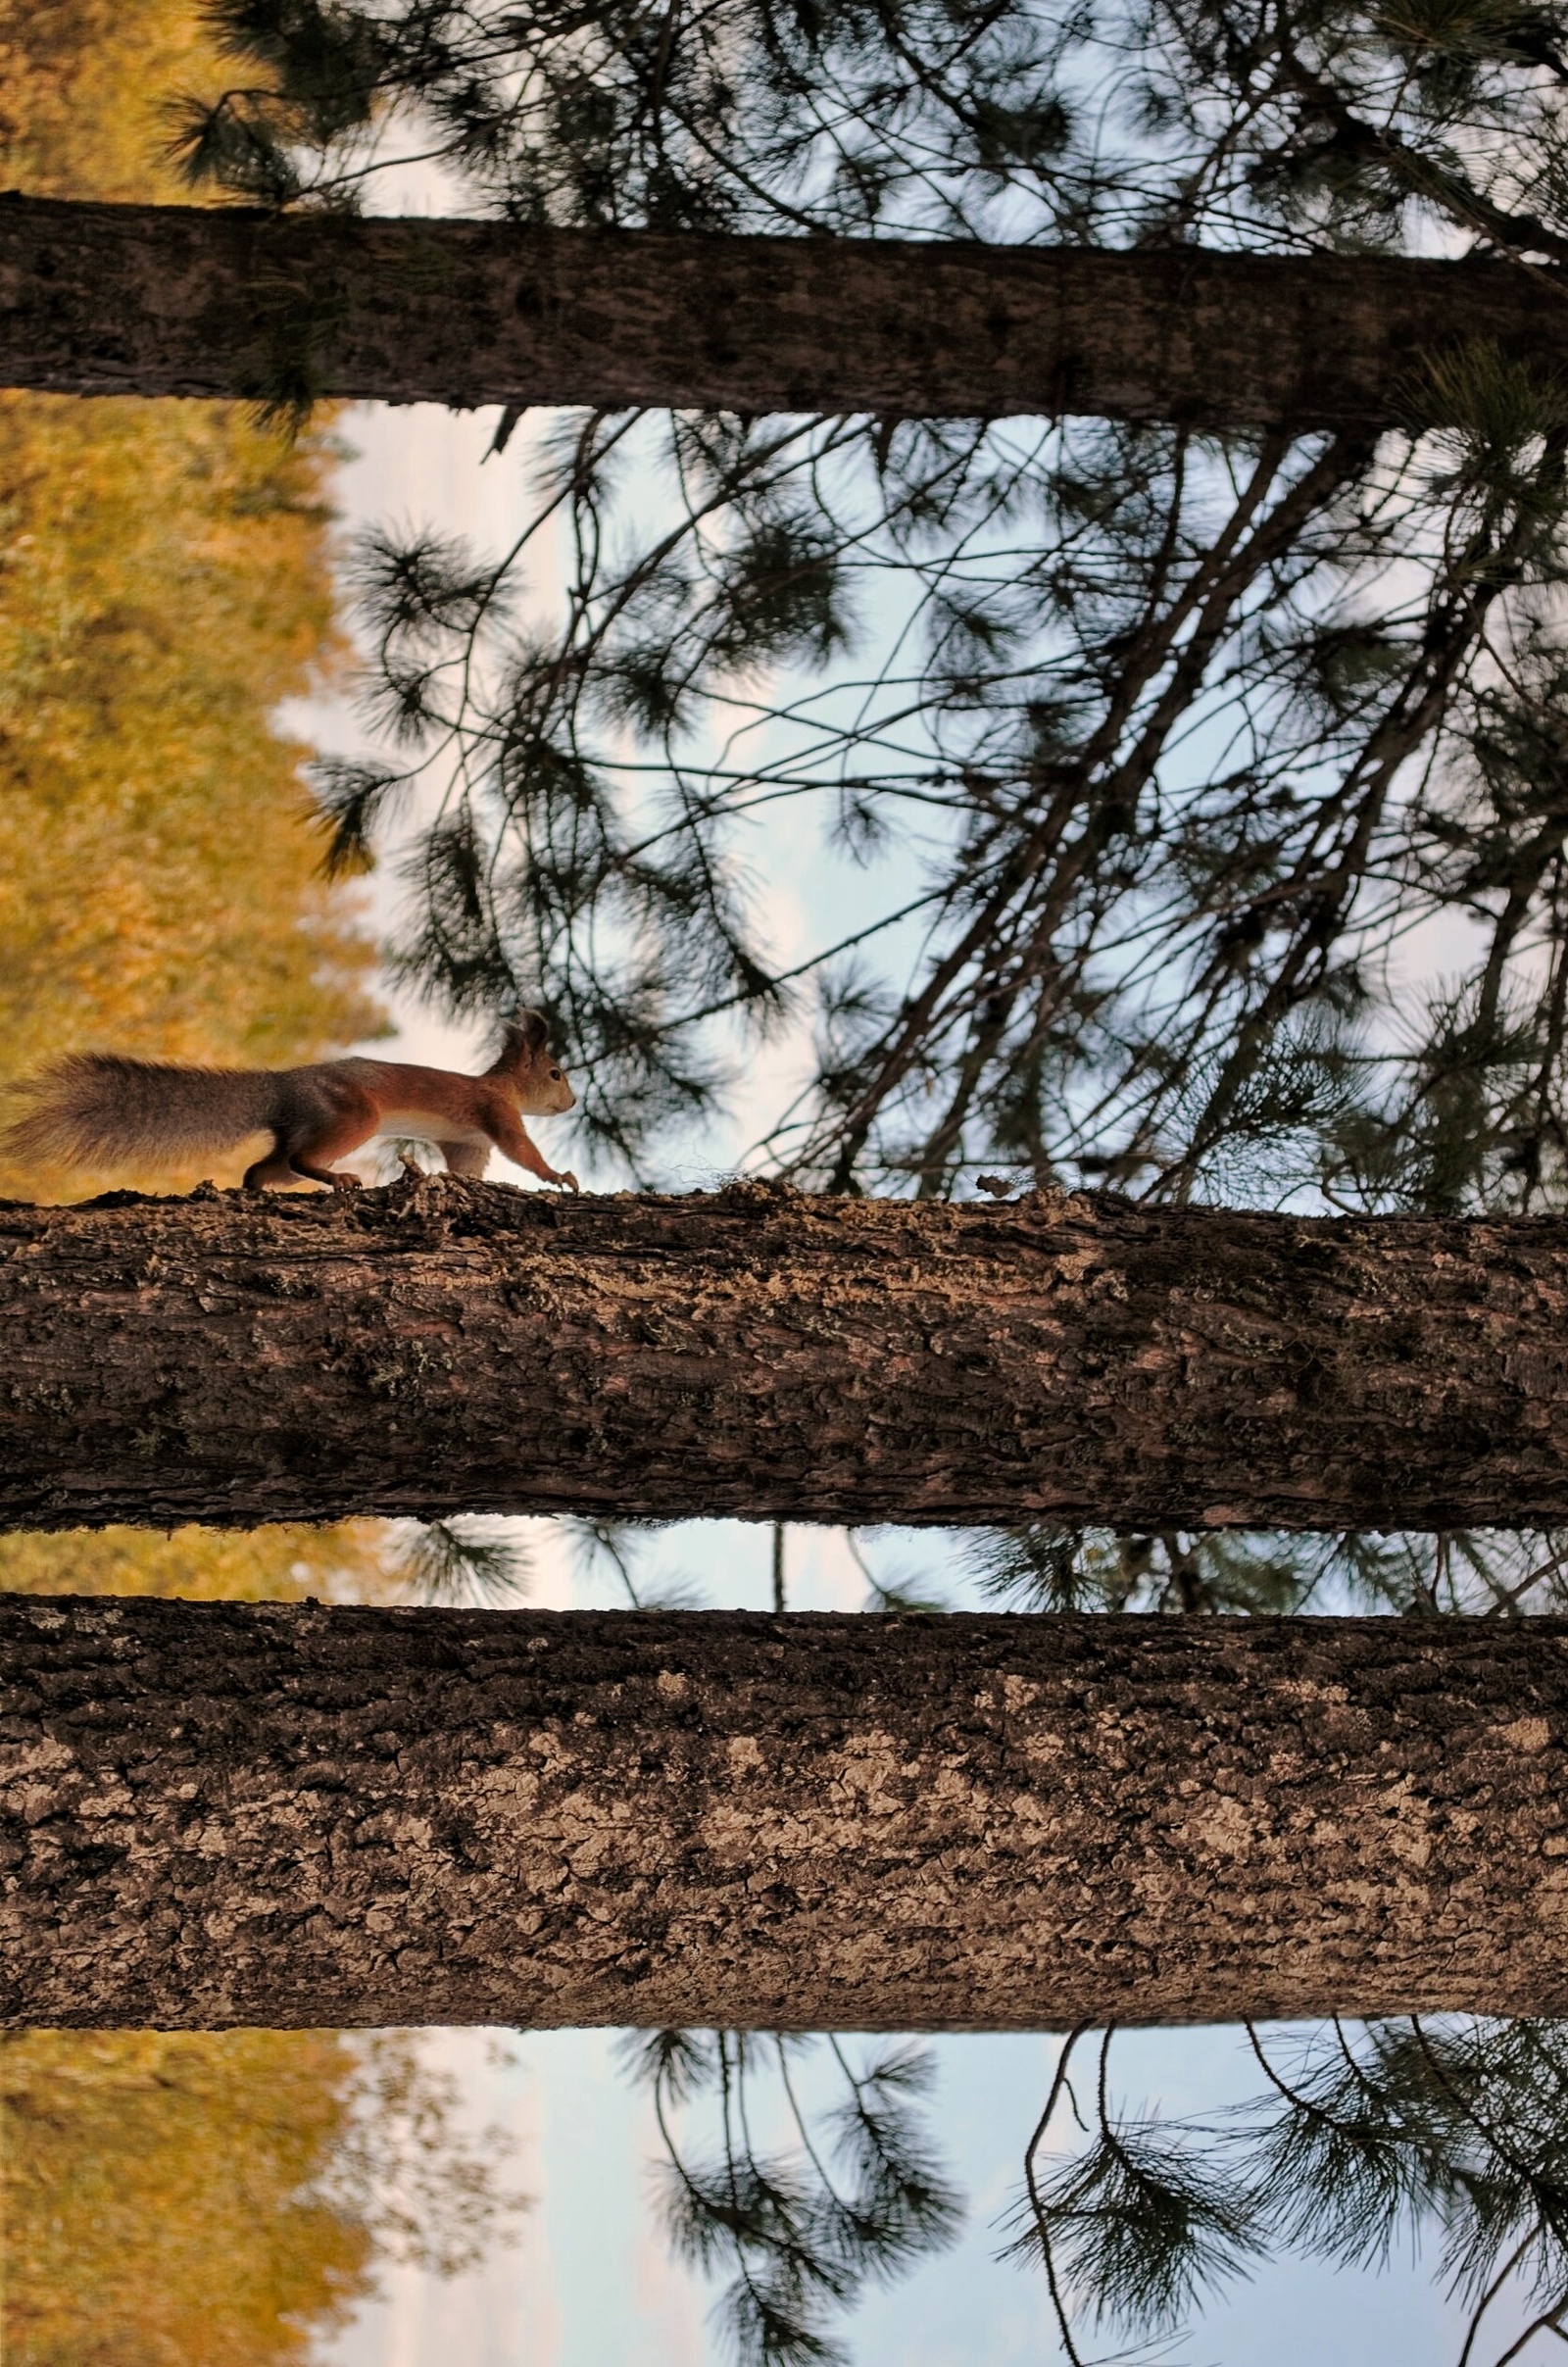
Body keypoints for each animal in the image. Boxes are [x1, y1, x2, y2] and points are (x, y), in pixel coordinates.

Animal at [3, 1017, 579, 1202]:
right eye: (555, 1073)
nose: (573, 1101)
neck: (505, 1085)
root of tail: (282, 1087)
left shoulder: (465, 1141)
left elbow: (467, 1169)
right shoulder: (495, 1112)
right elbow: (522, 1151)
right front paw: (560, 1176)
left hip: (300, 1132)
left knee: (266, 1167)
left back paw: (256, 1191)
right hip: (352, 1115)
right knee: (303, 1160)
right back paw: (339, 1179)